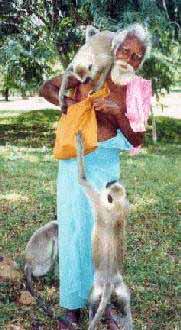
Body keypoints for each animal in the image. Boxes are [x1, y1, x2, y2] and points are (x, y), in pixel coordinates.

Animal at [75, 132, 133, 330]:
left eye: (109, 185)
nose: (110, 181)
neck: (115, 210)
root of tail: (108, 283)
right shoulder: (124, 208)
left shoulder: (99, 202)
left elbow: (82, 179)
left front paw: (80, 143)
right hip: (120, 285)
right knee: (126, 306)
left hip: (97, 285)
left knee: (93, 301)